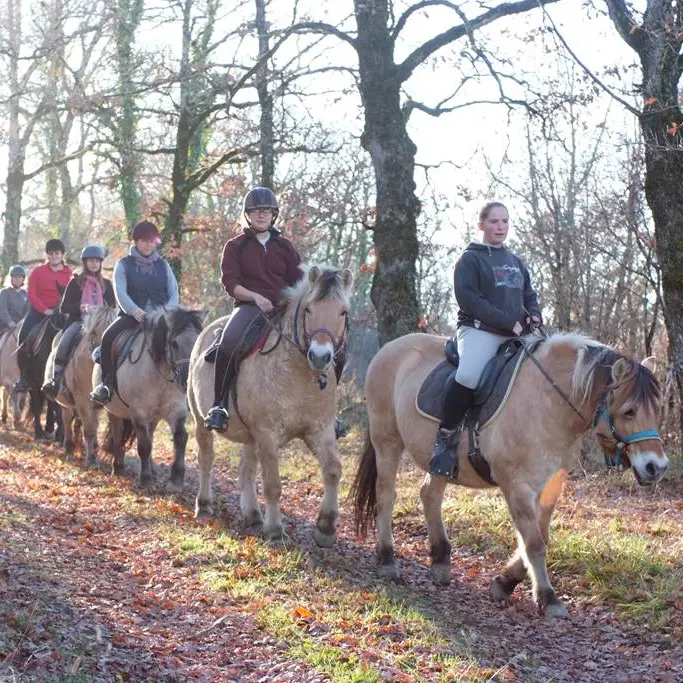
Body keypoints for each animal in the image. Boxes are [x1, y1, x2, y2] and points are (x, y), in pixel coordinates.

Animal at [45, 306, 119, 465]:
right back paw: (69, 449)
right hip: (66, 403)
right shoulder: (83, 401)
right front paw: (91, 459)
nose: (100, 355)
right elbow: (89, 429)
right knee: (67, 421)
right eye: (94, 332)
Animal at [98, 307, 206, 487]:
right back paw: (118, 467)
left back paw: (153, 470)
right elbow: (144, 445)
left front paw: (176, 479)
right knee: (118, 435)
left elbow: (180, 438)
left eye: (197, 341)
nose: (186, 381)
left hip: (154, 416)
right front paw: (146, 480)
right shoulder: (138, 412)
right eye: (174, 343)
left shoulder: (176, 410)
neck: (159, 374)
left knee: (151, 434)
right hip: (114, 410)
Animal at [187, 265, 353, 546]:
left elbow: (332, 470)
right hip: (202, 422)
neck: (298, 373)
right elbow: (273, 484)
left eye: (343, 311)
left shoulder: (320, 430)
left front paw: (326, 527)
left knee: (246, 470)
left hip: (250, 436)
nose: (320, 356)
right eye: (308, 309)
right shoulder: (266, 434)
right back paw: (205, 505)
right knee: (206, 460)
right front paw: (275, 530)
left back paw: (252, 514)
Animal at [350, 332, 668, 617]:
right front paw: (547, 598)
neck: (547, 404)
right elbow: (534, 543)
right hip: (387, 441)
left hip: (437, 460)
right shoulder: (518, 486)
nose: (657, 467)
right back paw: (387, 559)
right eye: (629, 411)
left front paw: (505, 582)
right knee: (386, 495)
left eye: (657, 409)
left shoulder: (550, 485)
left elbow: (540, 536)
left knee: (429, 495)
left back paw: (441, 561)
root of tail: (389, 348)